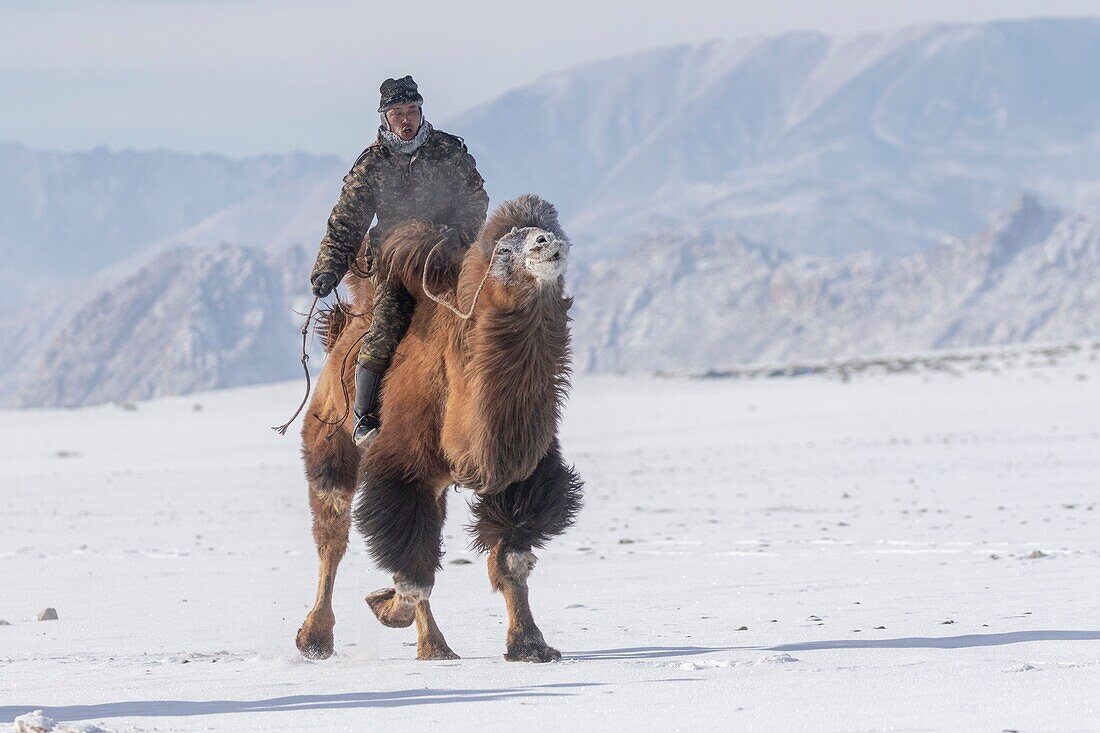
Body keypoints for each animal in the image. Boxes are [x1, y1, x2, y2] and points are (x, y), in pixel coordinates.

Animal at [292, 193, 585, 660]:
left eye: (554, 228)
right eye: (505, 248)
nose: (546, 242)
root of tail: (342, 329)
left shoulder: (520, 472)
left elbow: (511, 560)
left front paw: (531, 646)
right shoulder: (401, 469)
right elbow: (414, 575)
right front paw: (384, 607)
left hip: (437, 481)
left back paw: (436, 649)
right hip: (329, 440)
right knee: (332, 535)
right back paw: (316, 639)